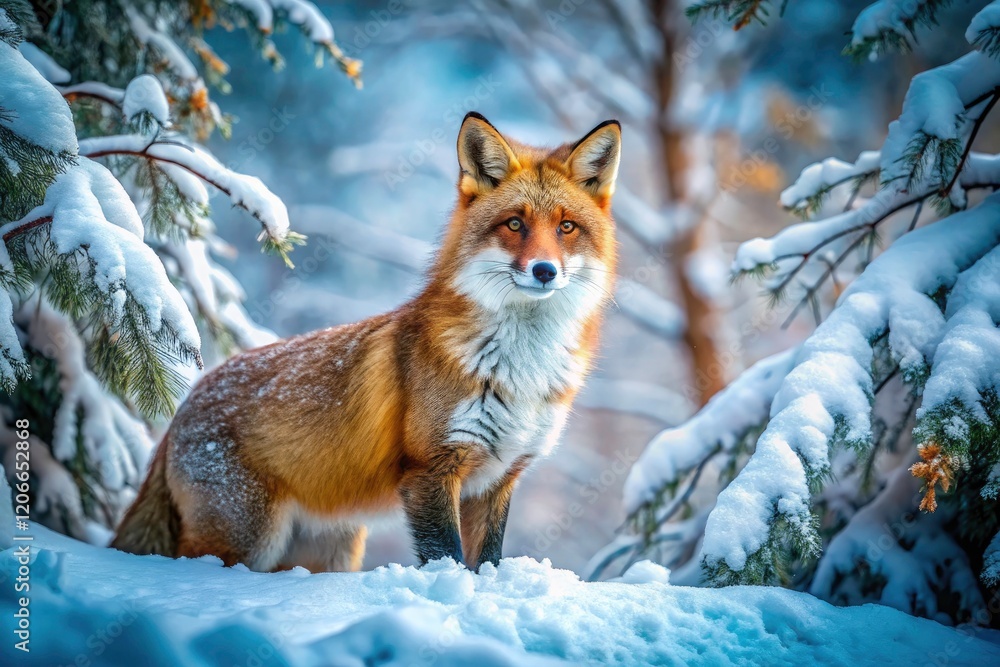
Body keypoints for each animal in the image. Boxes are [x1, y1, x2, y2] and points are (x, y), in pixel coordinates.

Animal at [112, 112, 621, 572]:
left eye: (566, 227)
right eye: (515, 224)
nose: (544, 270)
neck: (519, 370)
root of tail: (186, 403)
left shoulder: (497, 479)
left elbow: (487, 562)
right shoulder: (430, 470)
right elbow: (450, 560)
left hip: (326, 551)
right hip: (244, 542)